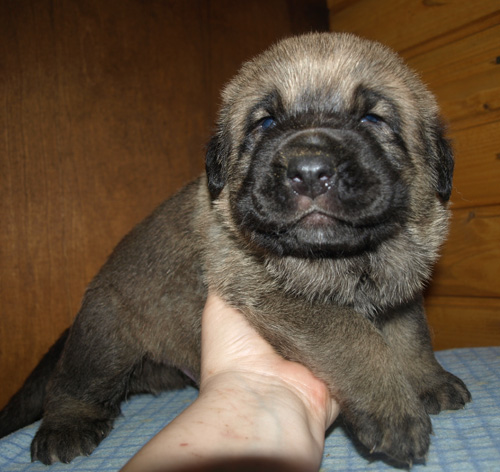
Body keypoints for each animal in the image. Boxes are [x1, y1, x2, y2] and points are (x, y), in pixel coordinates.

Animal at [0, 32, 468, 464]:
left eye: (373, 118)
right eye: (265, 123)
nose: (310, 171)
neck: (353, 257)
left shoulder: (400, 290)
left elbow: (411, 335)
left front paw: (429, 381)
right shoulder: (271, 291)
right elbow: (352, 334)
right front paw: (393, 410)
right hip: (104, 335)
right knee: (72, 384)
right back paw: (65, 428)